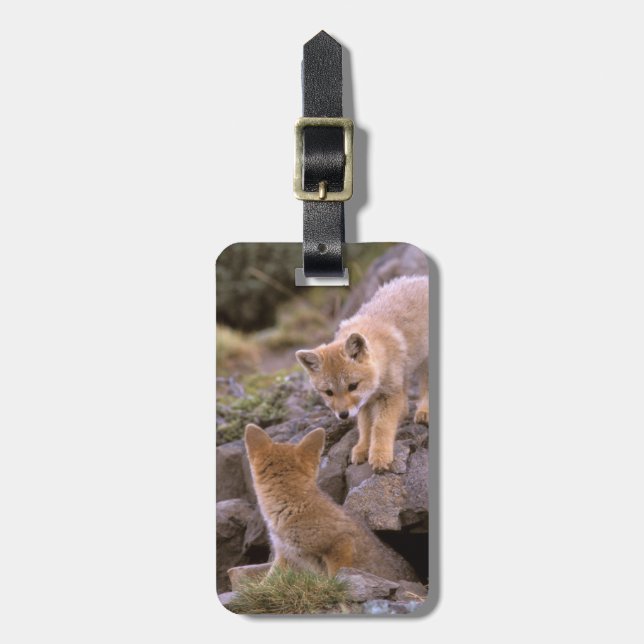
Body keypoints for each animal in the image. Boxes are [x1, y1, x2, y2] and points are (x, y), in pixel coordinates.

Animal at [296, 275, 429, 472]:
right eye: (329, 392)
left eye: (352, 386)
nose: (343, 415)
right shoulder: (366, 402)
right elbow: (366, 426)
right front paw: (363, 448)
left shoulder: (390, 394)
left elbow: (380, 426)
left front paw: (380, 455)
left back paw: (424, 411)